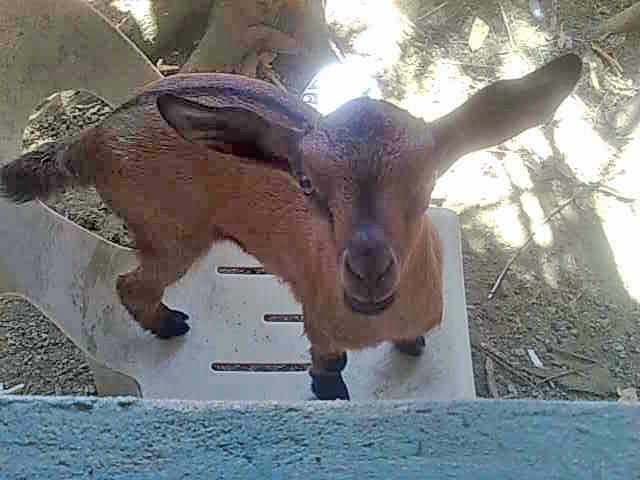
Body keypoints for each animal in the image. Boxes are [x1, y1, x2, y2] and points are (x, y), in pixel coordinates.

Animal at [0, 54, 582, 400]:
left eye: (430, 179)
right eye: (306, 182)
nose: (367, 272)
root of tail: (94, 135)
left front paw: (413, 346)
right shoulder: (318, 327)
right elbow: (328, 370)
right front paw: (331, 393)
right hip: (171, 230)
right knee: (131, 284)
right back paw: (168, 325)